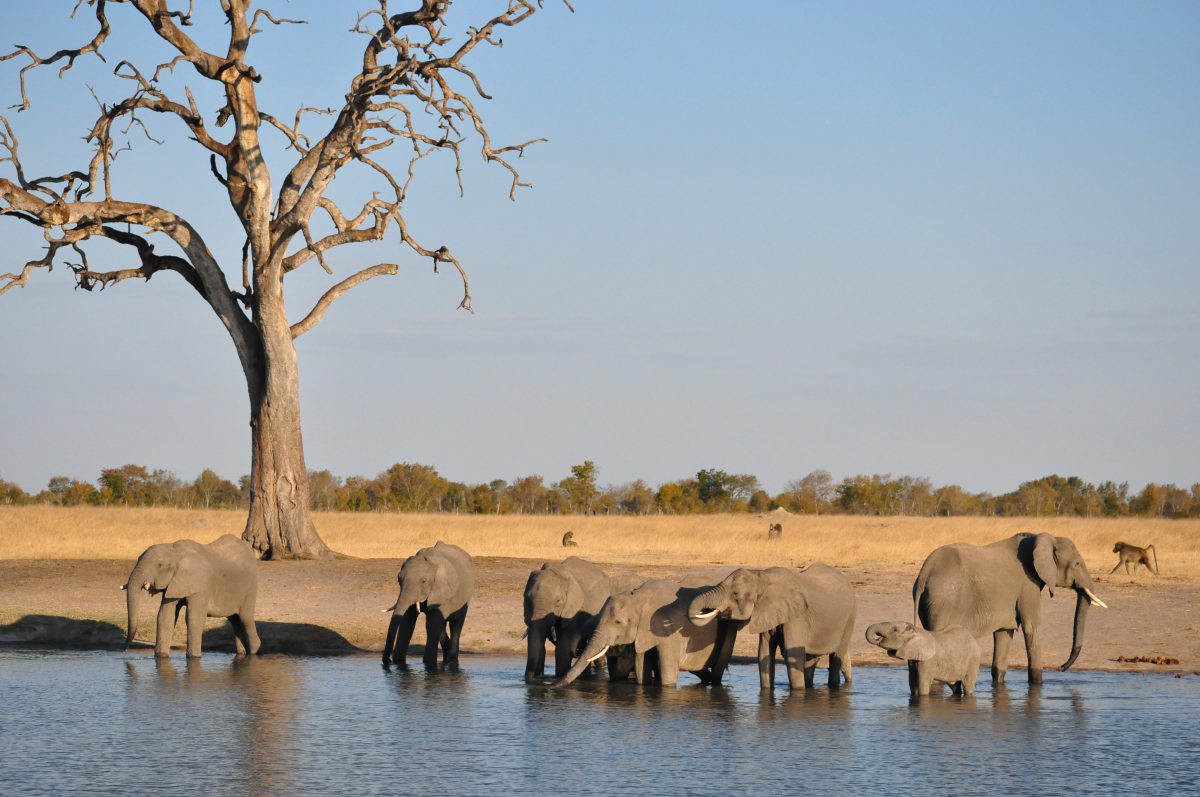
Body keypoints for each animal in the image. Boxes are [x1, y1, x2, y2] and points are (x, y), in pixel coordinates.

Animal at [120, 532, 259, 657]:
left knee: (245, 618)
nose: (125, 650)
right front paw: (161, 656)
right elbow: (165, 616)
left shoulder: (201, 585)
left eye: (160, 565)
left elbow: (194, 618)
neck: (174, 549)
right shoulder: (174, 583)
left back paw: (254, 652)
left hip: (250, 588)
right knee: (235, 620)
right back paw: (242, 653)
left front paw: (194, 657)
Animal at [556, 576, 734, 686]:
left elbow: (667, 670)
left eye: (618, 622)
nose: (553, 686)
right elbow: (642, 665)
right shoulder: (643, 634)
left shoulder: (667, 630)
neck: (639, 598)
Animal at [686, 564, 854, 686]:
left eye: (735, 594)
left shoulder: (798, 617)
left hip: (850, 618)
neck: (761, 576)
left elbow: (792, 653)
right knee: (810, 659)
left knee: (836, 657)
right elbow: (764, 653)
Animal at [916, 528, 1104, 686]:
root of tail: (924, 573)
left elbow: (1004, 633)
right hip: (944, 601)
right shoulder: (1028, 584)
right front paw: (1037, 686)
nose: (1061, 668)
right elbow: (1032, 628)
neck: (1043, 538)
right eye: (1077, 564)